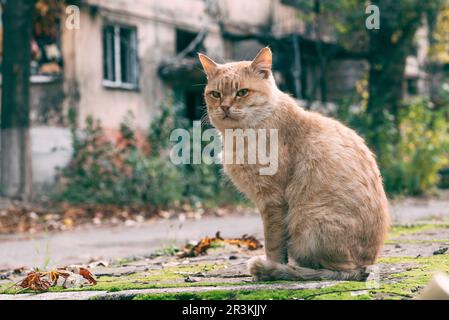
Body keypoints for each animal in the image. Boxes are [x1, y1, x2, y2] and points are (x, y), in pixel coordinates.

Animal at [197, 47, 388, 280]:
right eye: (216, 94)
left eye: (242, 92)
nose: (224, 107)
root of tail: (367, 264)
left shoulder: (272, 201)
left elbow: (273, 244)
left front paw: (270, 266)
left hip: (308, 221)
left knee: (333, 271)